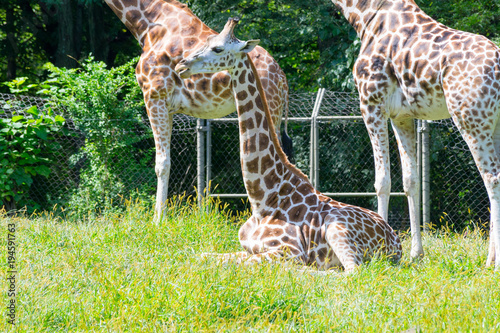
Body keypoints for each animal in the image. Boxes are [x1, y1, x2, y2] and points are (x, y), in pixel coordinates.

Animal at [104, 0, 290, 215]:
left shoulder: (154, 95)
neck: (148, 24)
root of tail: (282, 79)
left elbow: (162, 163)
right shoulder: (168, 106)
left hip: (269, 107)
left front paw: (158, 219)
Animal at [176, 18, 402, 272]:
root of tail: (397, 243)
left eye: (218, 49)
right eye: (206, 42)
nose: (182, 66)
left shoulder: (289, 251)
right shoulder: (247, 248)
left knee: (352, 271)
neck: (262, 199)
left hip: (336, 228)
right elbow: (199, 256)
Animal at [330, 0, 500, 268]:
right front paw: (415, 253)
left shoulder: (371, 103)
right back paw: (491, 258)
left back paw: (493, 263)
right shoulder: (402, 116)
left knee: (492, 178)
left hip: (471, 119)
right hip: (493, 124)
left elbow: (382, 181)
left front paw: (382, 251)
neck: (365, 15)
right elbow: (410, 181)